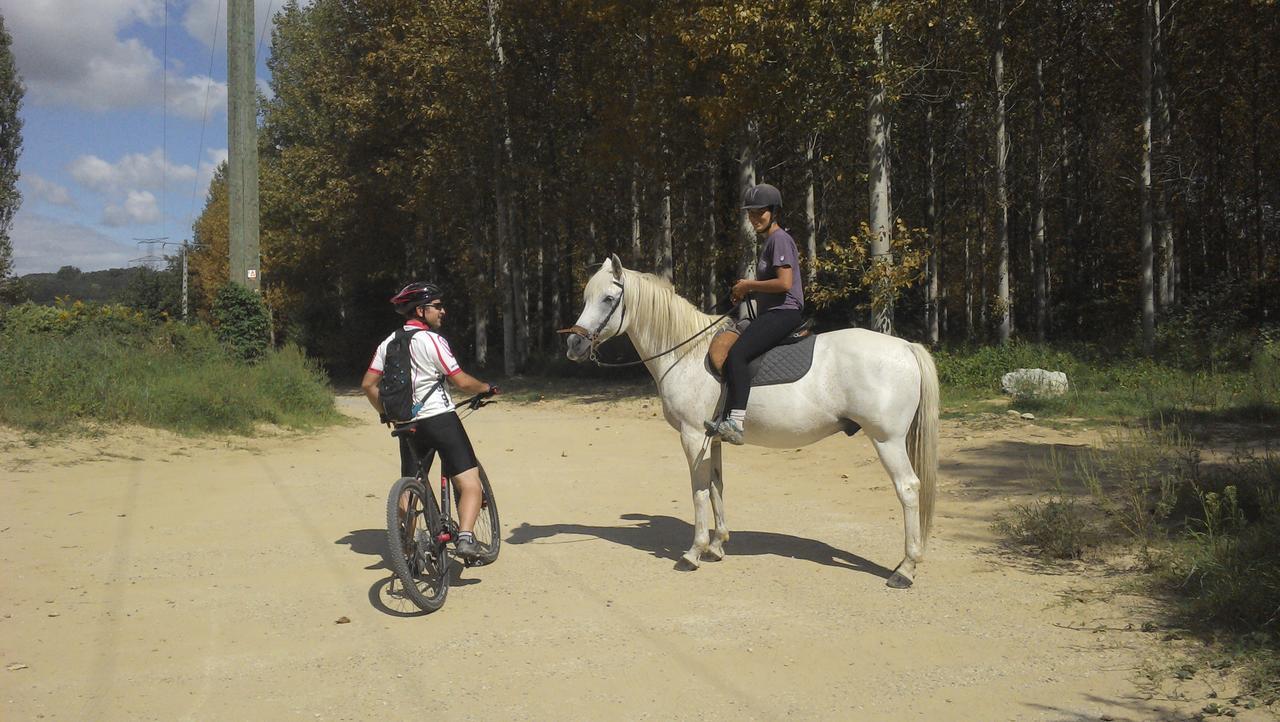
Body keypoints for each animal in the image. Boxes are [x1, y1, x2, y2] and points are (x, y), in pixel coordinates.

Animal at [563, 253, 942, 586]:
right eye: (586, 298)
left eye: (608, 298)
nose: (574, 346)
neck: (685, 352)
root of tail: (906, 347)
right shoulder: (712, 438)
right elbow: (716, 486)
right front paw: (717, 546)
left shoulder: (691, 436)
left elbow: (698, 491)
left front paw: (693, 553)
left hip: (887, 440)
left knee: (908, 489)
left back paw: (905, 569)